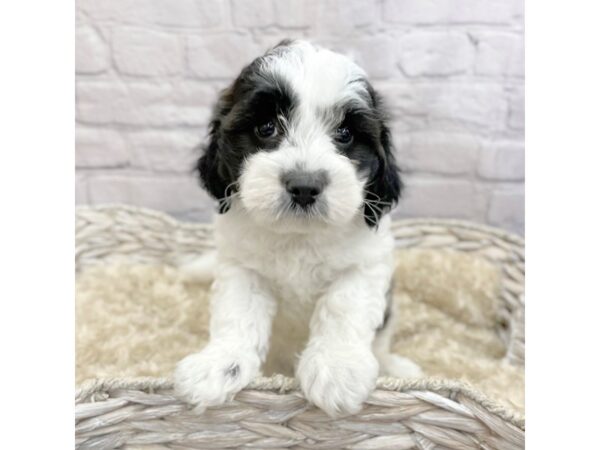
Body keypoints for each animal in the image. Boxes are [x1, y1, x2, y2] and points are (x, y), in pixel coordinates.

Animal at [175, 40, 422, 416]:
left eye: (345, 134)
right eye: (266, 128)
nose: (304, 186)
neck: (298, 235)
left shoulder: (365, 265)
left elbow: (343, 307)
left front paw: (337, 369)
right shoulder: (241, 268)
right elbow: (237, 314)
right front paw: (218, 365)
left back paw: (395, 367)